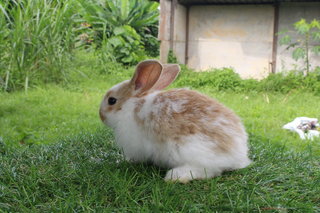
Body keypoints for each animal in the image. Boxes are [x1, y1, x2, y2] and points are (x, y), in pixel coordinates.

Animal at [99, 60, 251, 183]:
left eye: (112, 100)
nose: (101, 116)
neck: (131, 105)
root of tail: (238, 154)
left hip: (190, 150)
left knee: (208, 170)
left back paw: (175, 176)